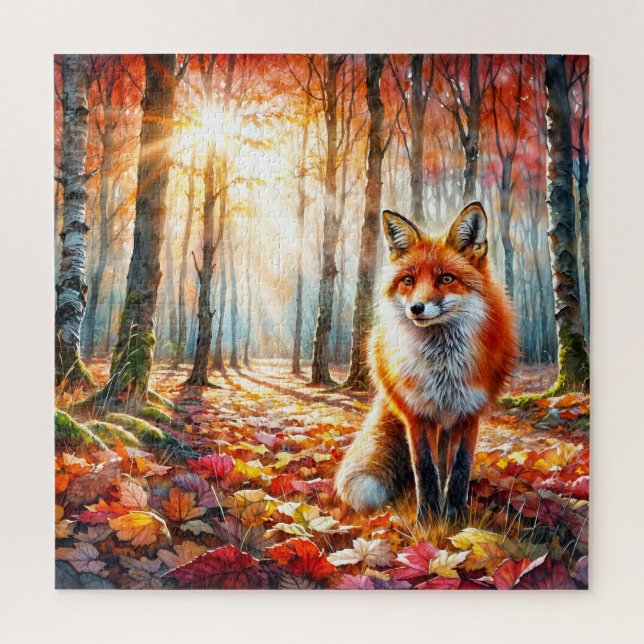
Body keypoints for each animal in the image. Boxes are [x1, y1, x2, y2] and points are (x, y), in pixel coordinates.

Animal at [335, 202, 516, 524]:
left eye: (446, 278)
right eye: (408, 280)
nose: (416, 308)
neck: (442, 368)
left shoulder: (469, 412)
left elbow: (459, 469)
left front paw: (455, 517)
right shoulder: (417, 414)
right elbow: (425, 469)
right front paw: (428, 520)